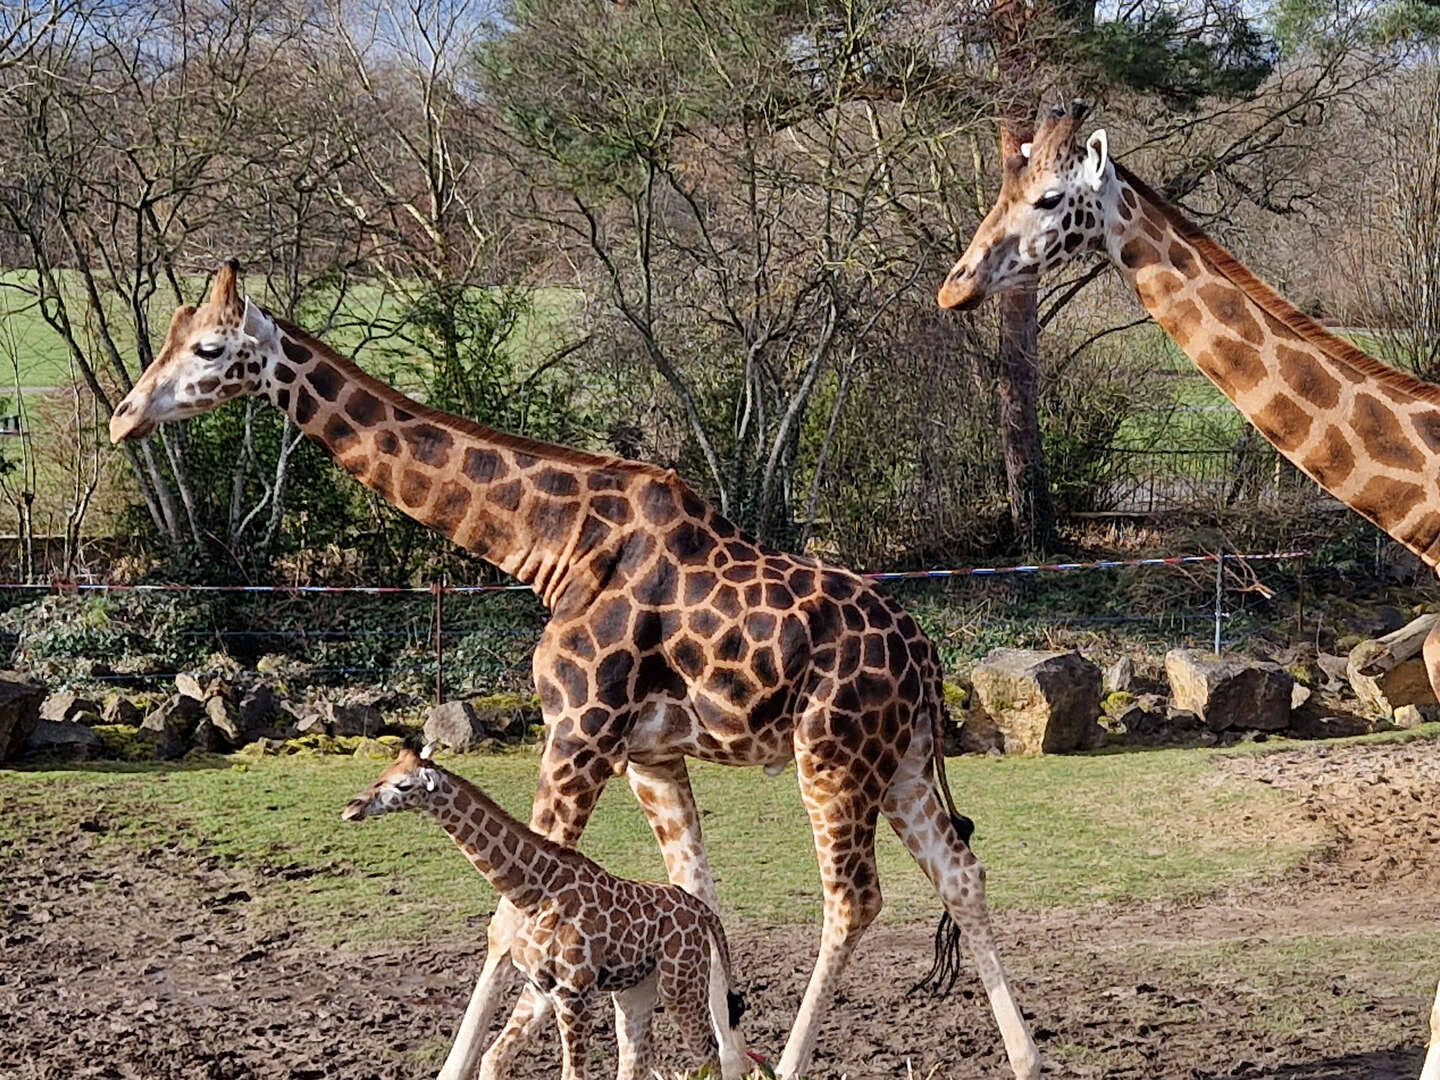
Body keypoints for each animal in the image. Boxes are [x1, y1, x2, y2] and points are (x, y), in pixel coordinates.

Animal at [341, 748, 748, 1080]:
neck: (533, 893)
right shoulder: (540, 988)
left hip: (680, 983)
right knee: (638, 1062)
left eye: (403, 784)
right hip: (634, 989)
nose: (351, 807)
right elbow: (492, 1059)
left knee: (708, 1056)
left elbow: (572, 1074)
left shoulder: (573, 992)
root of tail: (701, 911)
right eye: (382, 772)